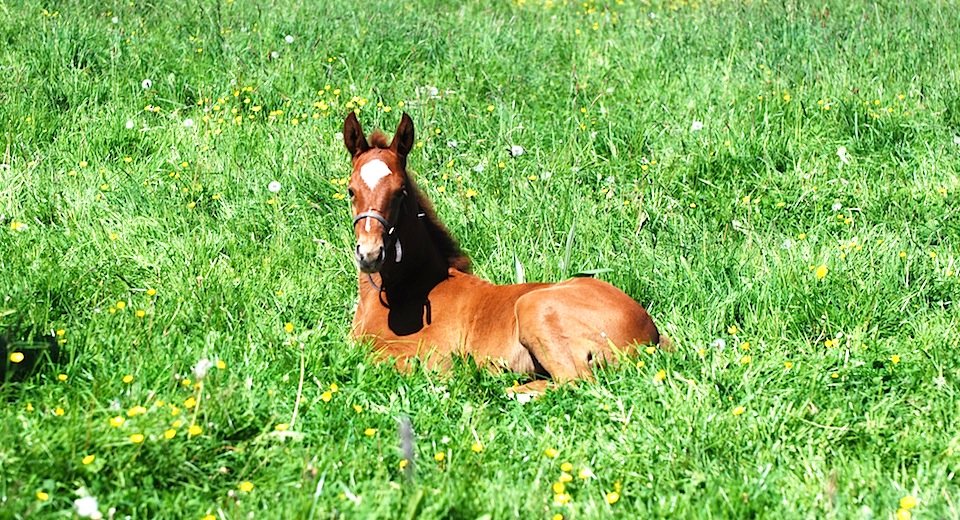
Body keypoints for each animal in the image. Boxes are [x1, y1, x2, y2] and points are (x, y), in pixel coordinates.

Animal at [342, 112, 666, 395]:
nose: (370, 254)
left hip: (534, 306)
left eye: (400, 192)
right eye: (351, 190)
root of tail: (651, 332)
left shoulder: (427, 358)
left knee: (575, 381)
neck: (408, 290)